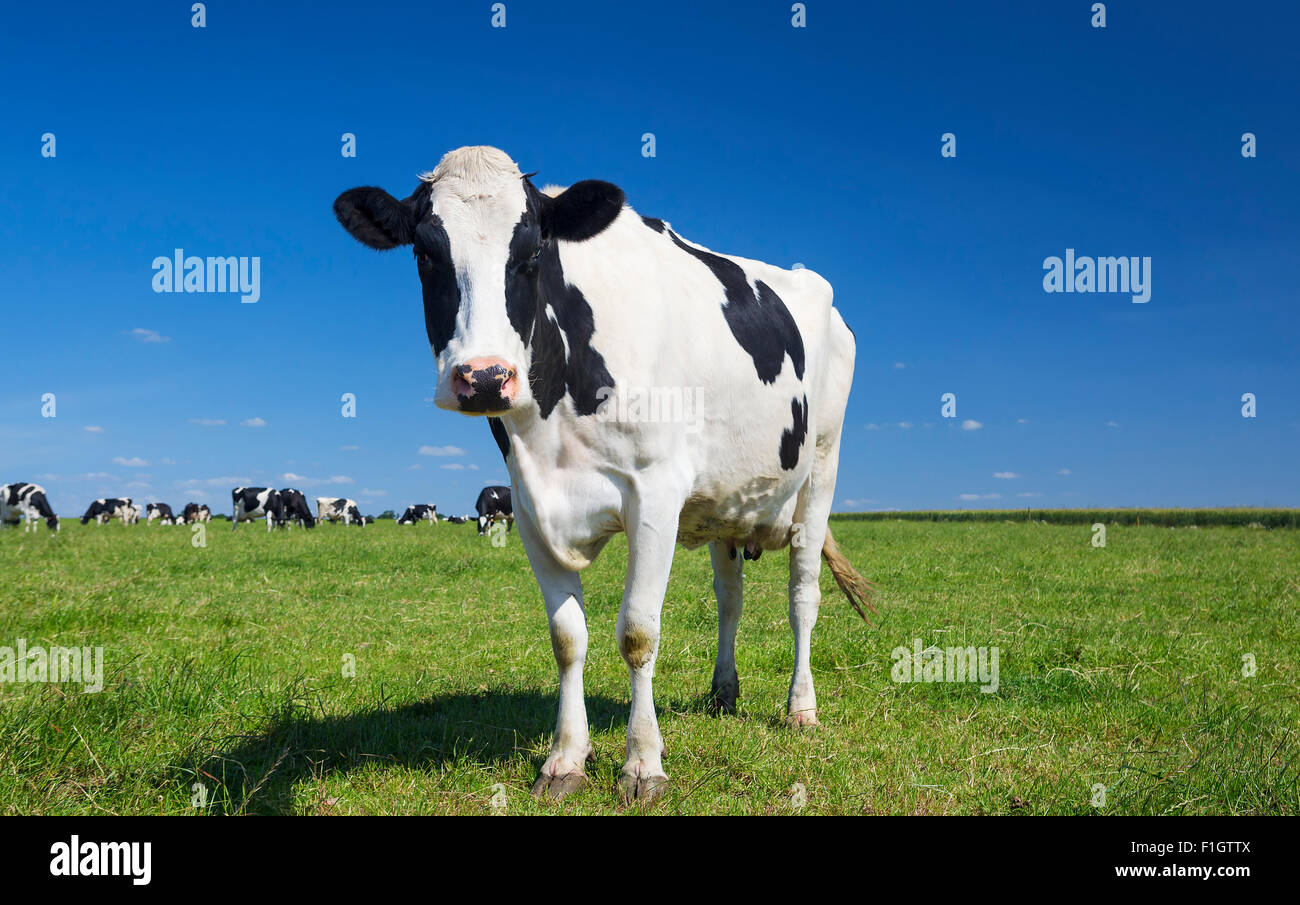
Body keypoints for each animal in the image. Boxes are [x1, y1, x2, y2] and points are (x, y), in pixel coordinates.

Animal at [334, 145, 872, 804]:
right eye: (425, 253)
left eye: (533, 254)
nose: (484, 377)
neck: (551, 429)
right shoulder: (528, 507)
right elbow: (567, 638)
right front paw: (566, 759)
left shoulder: (656, 494)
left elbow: (638, 632)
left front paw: (643, 764)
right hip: (727, 503)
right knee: (730, 598)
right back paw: (723, 693)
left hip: (820, 469)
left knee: (803, 595)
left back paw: (801, 708)